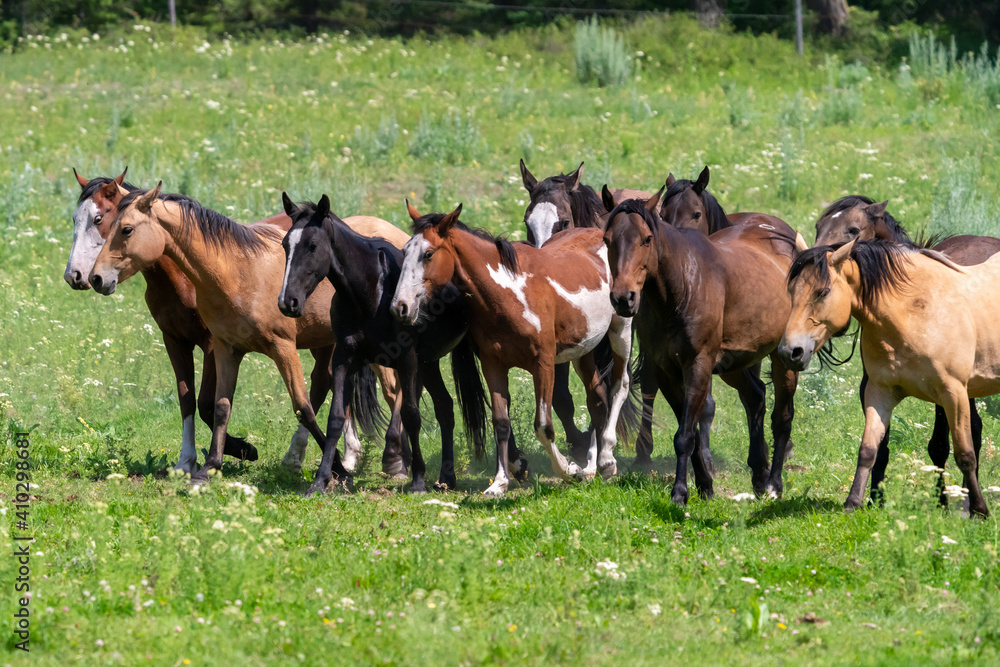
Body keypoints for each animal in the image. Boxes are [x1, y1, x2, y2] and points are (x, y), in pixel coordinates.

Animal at [87, 182, 409, 482]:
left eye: (127, 229)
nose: (95, 278)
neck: (237, 273)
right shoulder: (226, 348)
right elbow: (220, 407)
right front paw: (210, 467)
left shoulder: (282, 347)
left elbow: (302, 407)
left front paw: (339, 469)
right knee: (329, 383)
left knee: (393, 391)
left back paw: (394, 463)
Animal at [277, 195, 489, 494]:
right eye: (285, 245)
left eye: (312, 245)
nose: (288, 302)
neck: (371, 292)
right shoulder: (344, 358)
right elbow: (335, 418)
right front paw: (321, 480)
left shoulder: (406, 360)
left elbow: (411, 416)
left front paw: (418, 480)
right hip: (428, 363)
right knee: (445, 409)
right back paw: (446, 477)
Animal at [392, 203, 637, 497]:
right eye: (405, 250)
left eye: (428, 254)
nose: (400, 306)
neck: (510, 293)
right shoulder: (493, 365)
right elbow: (501, 423)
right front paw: (500, 482)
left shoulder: (543, 365)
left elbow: (543, 426)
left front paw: (568, 469)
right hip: (584, 349)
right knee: (597, 398)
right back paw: (591, 467)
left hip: (621, 330)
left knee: (619, 386)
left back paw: (607, 461)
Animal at [778, 240, 998, 517]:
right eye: (791, 291)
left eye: (823, 292)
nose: (790, 352)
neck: (912, 311)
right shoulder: (879, 393)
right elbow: (868, 450)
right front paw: (853, 503)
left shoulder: (954, 395)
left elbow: (966, 454)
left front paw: (980, 510)